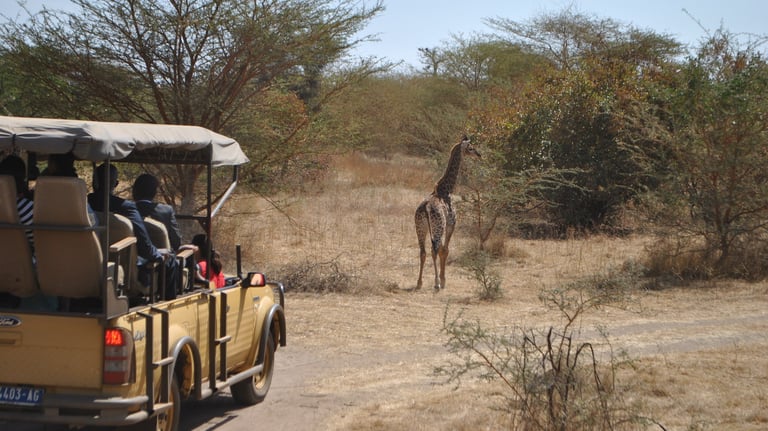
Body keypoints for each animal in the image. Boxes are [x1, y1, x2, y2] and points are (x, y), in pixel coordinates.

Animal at [415, 135, 481, 291]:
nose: (479, 155)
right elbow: (445, 250)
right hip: (438, 227)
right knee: (434, 249)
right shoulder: (452, 224)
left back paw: (419, 283)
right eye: (471, 148)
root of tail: (426, 207)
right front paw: (443, 280)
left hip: (420, 227)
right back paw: (436, 283)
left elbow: (442, 250)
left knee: (423, 251)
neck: (448, 189)